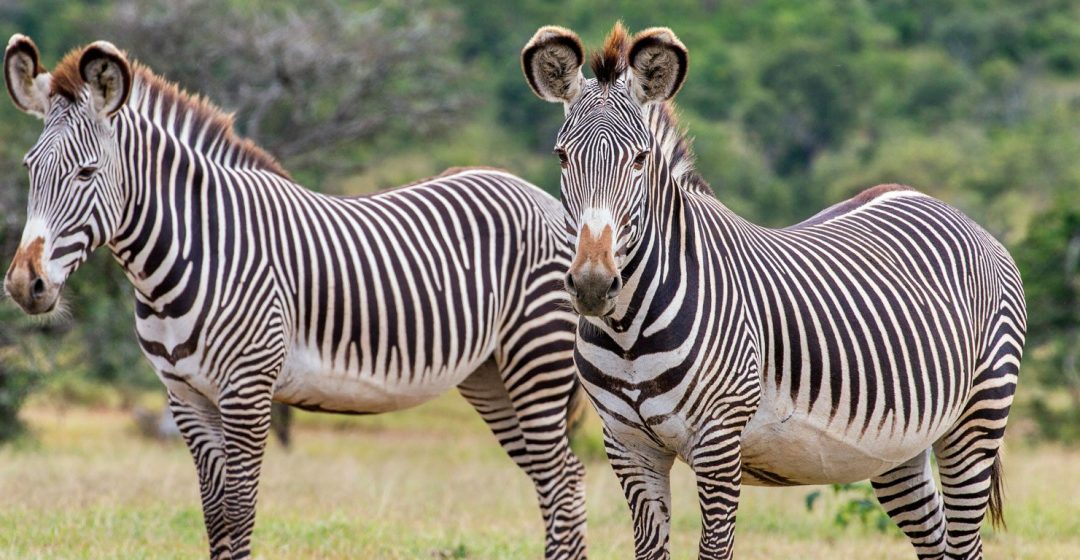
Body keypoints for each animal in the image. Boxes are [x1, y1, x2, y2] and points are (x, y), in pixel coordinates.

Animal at [3, 35, 588, 559]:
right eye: (30, 168)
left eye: (86, 173)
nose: (24, 285)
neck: (196, 251)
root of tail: (547, 201)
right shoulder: (185, 397)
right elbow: (213, 515)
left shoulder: (247, 390)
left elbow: (238, 513)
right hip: (491, 376)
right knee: (558, 480)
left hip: (537, 360)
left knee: (563, 483)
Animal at [521, 23, 1025, 559]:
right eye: (561, 157)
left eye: (639, 159)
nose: (594, 284)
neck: (627, 334)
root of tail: (942, 206)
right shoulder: (627, 446)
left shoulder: (718, 442)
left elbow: (715, 549)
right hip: (898, 446)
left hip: (978, 417)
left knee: (965, 539)